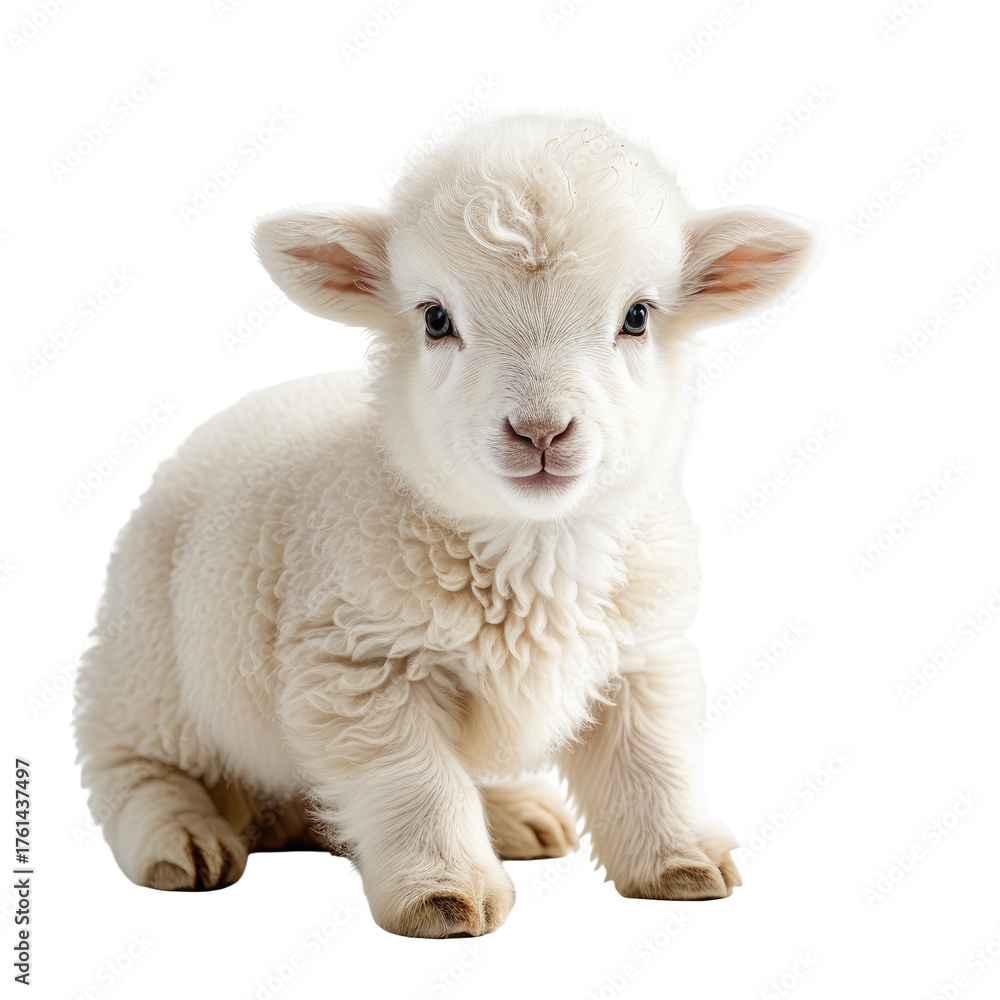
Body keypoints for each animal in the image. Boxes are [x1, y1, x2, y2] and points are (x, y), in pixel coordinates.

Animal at [74, 111, 817, 938]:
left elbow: (651, 765)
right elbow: (418, 785)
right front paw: (443, 894)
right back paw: (181, 840)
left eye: (637, 316)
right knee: (134, 771)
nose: (540, 432)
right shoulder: (361, 668)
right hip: (148, 677)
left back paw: (514, 814)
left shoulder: (641, 655)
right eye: (436, 319)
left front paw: (680, 861)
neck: (536, 547)